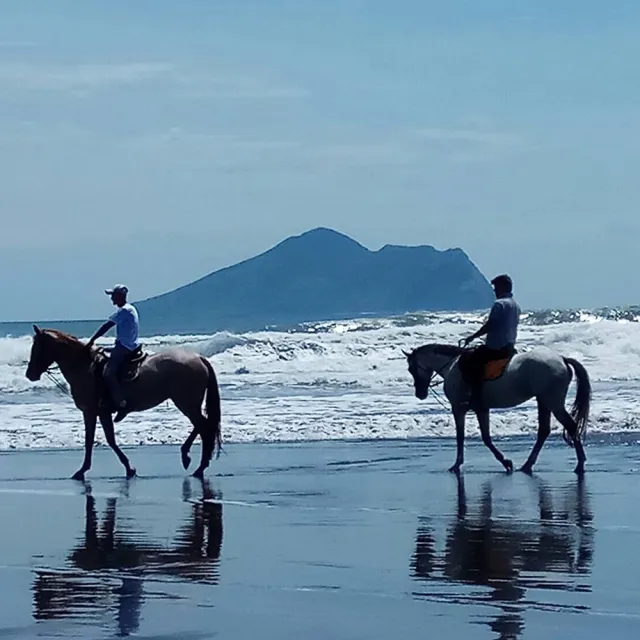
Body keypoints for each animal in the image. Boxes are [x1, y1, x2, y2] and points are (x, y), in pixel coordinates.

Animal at [24, 324, 222, 480]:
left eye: (37, 347)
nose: (30, 374)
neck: (83, 368)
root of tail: (199, 358)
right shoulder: (102, 412)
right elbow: (109, 439)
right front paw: (129, 468)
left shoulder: (90, 411)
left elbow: (91, 440)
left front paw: (82, 471)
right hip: (188, 403)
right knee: (203, 425)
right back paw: (188, 457)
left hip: (186, 402)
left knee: (204, 427)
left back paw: (198, 466)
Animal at [402, 344, 592, 476]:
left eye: (411, 368)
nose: (420, 394)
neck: (451, 368)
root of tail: (562, 359)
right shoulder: (482, 408)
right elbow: (486, 438)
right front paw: (506, 462)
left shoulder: (459, 408)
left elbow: (461, 437)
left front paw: (457, 465)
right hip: (543, 401)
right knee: (544, 431)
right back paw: (527, 465)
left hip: (552, 402)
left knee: (571, 426)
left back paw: (579, 464)